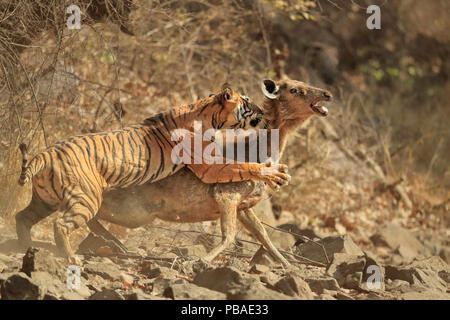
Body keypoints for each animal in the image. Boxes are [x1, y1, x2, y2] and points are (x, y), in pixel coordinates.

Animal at [15, 85, 290, 260]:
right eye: (247, 102)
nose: (264, 112)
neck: (210, 116)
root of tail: (46, 154)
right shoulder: (208, 166)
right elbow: (242, 166)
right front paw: (275, 173)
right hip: (85, 198)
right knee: (61, 224)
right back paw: (70, 257)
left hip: (45, 200)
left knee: (21, 216)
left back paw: (26, 246)